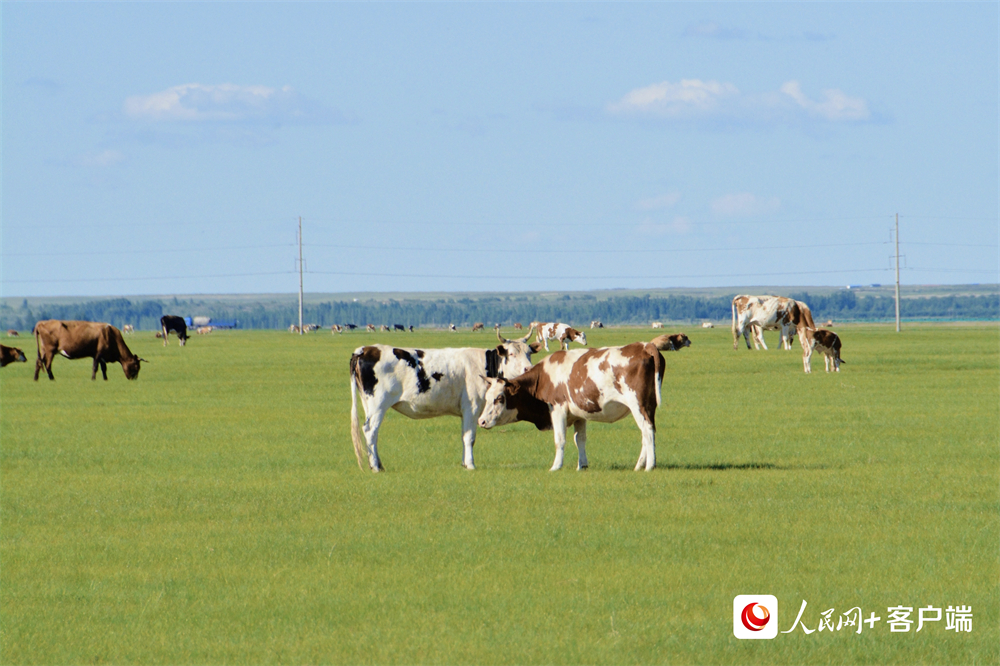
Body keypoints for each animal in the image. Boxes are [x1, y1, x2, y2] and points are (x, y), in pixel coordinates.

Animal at [350, 324, 540, 470]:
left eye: (529, 353)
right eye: (511, 354)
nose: (529, 369)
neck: (485, 365)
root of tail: (365, 349)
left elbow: (464, 435)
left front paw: (464, 463)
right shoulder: (472, 407)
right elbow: (470, 437)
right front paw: (471, 465)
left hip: (368, 404)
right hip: (378, 405)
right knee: (370, 431)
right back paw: (375, 467)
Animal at [474, 334, 680, 470]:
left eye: (499, 398)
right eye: (487, 397)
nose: (481, 421)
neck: (543, 377)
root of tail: (645, 346)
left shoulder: (557, 409)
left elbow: (560, 439)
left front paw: (556, 466)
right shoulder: (579, 414)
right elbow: (579, 439)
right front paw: (582, 466)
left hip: (638, 403)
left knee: (647, 430)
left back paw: (649, 465)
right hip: (648, 405)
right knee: (647, 431)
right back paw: (639, 465)